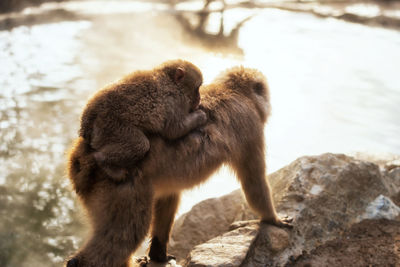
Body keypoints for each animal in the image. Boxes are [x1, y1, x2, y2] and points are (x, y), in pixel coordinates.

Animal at [80, 60, 208, 182]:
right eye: (197, 88)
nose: (199, 98)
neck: (171, 82)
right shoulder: (174, 100)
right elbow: (174, 130)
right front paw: (200, 116)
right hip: (110, 125)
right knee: (139, 144)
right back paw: (104, 162)